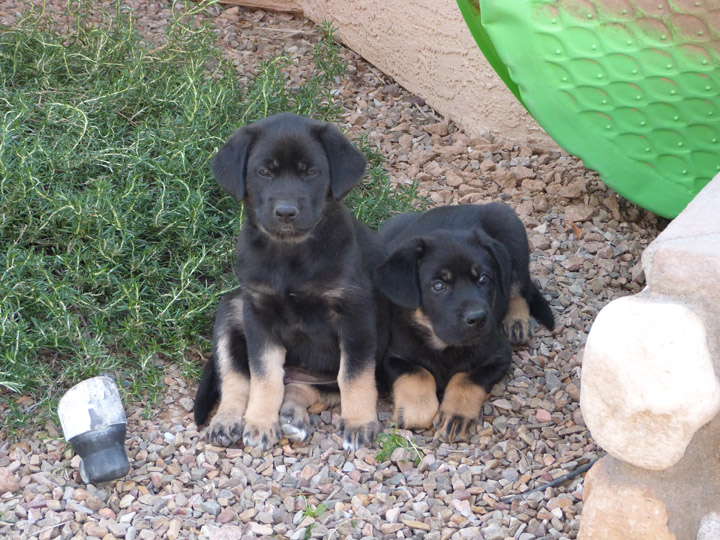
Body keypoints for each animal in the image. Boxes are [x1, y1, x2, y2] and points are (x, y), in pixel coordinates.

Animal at [191, 114, 382, 452]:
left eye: (311, 172)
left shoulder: (355, 314)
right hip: (231, 308)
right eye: (264, 172)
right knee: (238, 380)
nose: (285, 212)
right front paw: (259, 423)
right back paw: (227, 420)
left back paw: (294, 417)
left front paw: (359, 423)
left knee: (307, 388)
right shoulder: (259, 314)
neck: (291, 253)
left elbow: (354, 375)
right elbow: (264, 376)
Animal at [374, 200, 556, 440]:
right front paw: (415, 411)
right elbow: (418, 373)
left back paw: (516, 322)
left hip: (510, 229)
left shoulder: (498, 355)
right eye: (438, 286)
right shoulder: (393, 356)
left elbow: (465, 379)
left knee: (517, 286)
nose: (478, 319)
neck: (444, 345)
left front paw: (457, 415)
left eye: (483, 279)